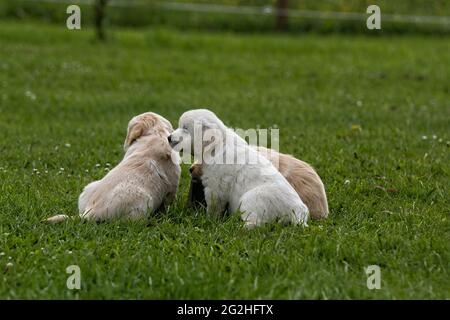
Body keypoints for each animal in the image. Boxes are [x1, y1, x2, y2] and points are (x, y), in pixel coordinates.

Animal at [46, 112, 181, 222]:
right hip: (144, 202)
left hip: (88, 188)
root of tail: (89, 212)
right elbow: (168, 203)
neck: (156, 134)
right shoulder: (172, 186)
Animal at [169, 110, 310, 228]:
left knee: (256, 224)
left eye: (185, 128)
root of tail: (298, 210)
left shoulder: (216, 186)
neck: (218, 145)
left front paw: (209, 220)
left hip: (251, 198)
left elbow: (214, 206)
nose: (169, 137)